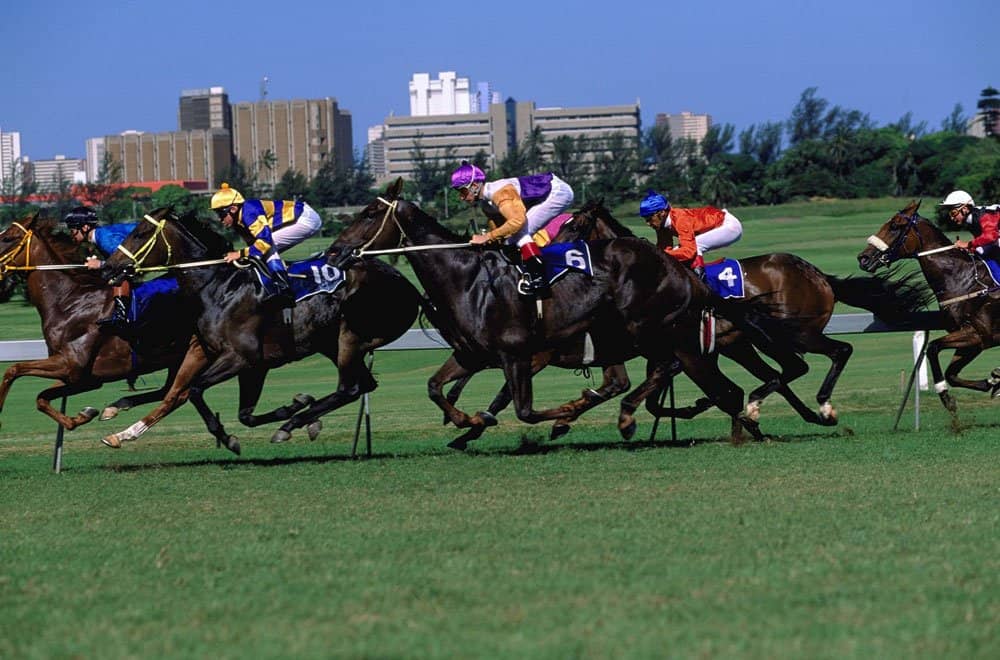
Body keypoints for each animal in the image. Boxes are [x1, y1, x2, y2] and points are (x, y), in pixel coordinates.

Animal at [0, 214, 195, 434]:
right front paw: (83, 415)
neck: (67, 302)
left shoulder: (71, 365)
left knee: (175, 395)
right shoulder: (83, 378)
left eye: (8, 238)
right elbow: (41, 398)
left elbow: (13, 369)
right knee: (169, 392)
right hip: (175, 359)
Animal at [103, 209, 424, 452]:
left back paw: (292, 425)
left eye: (140, 233)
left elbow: (194, 390)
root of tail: (407, 285)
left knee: (350, 388)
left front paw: (229, 439)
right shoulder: (246, 363)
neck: (218, 286)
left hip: (348, 337)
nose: (108, 268)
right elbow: (241, 414)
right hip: (332, 343)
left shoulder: (242, 358)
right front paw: (293, 406)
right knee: (363, 385)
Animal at [332, 179, 800, 444]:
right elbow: (435, 388)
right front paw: (464, 420)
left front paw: (558, 416)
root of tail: (688, 275)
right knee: (718, 388)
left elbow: (523, 409)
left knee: (697, 378)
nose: (336, 251)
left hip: (659, 333)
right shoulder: (472, 354)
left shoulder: (519, 353)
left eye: (370, 213)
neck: (467, 279)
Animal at [856, 200, 996, 428]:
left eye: (894, 226)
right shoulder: (974, 340)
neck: (961, 278)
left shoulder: (979, 334)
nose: (863, 258)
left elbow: (932, 348)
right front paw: (992, 381)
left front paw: (945, 397)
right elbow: (952, 374)